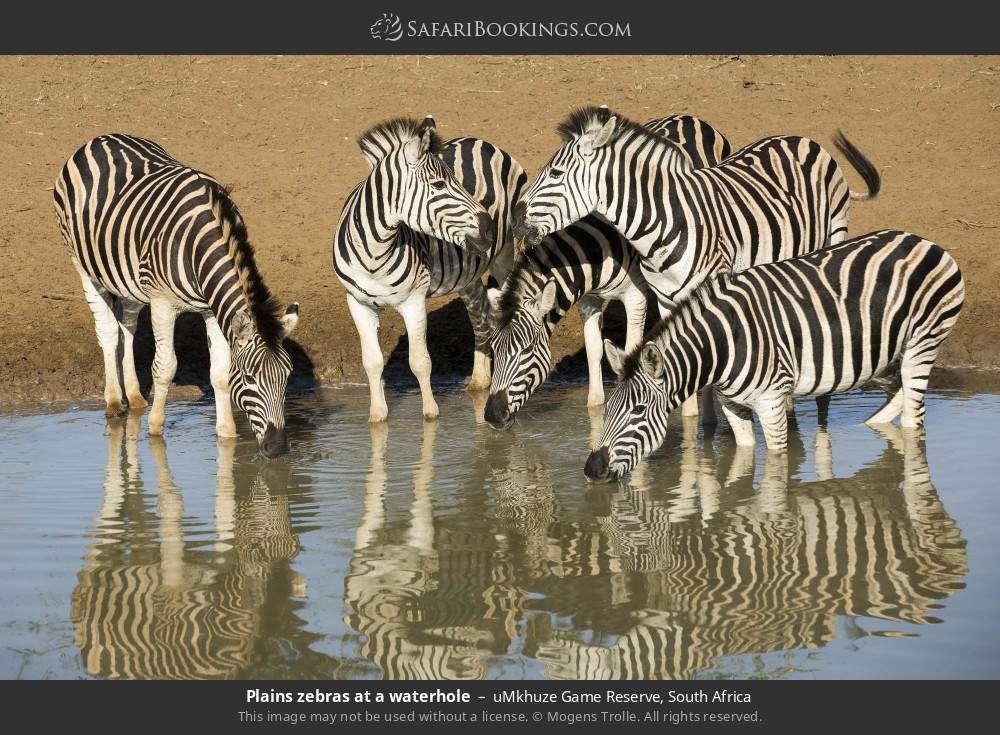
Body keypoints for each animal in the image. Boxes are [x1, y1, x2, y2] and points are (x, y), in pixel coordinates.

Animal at [54, 134, 300, 457]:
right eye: (249, 378)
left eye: (287, 377)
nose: (277, 449)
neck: (201, 246)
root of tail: (101, 138)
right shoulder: (162, 303)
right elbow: (165, 367)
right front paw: (155, 429)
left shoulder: (212, 309)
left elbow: (219, 373)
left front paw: (226, 434)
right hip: (82, 265)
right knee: (107, 330)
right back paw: (114, 402)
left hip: (130, 280)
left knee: (127, 325)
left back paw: (134, 396)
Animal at [334, 116, 522, 422]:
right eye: (438, 185)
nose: (488, 228)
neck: (374, 254)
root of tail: (479, 140)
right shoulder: (358, 303)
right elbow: (372, 363)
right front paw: (377, 417)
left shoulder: (414, 301)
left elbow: (420, 362)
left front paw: (431, 416)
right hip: (468, 273)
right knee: (481, 322)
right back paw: (479, 382)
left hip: (505, 254)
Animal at [483, 114, 732, 429]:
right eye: (493, 350)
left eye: (525, 351)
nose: (491, 417)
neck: (592, 248)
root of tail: (688, 117)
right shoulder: (586, 299)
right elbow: (593, 350)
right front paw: (594, 409)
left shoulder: (636, 295)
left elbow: (632, 348)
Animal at [512, 105, 880, 418]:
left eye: (556, 173)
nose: (515, 217)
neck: (662, 223)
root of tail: (802, 139)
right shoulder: (664, 299)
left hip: (834, 233)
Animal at [585, 230, 965, 481]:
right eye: (610, 408)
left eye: (637, 411)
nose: (591, 469)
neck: (722, 345)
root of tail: (924, 242)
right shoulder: (732, 405)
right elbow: (744, 459)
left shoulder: (770, 402)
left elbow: (776, 468)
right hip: (880, 355)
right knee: (897, 393)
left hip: (922, 342)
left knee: (914, 417)